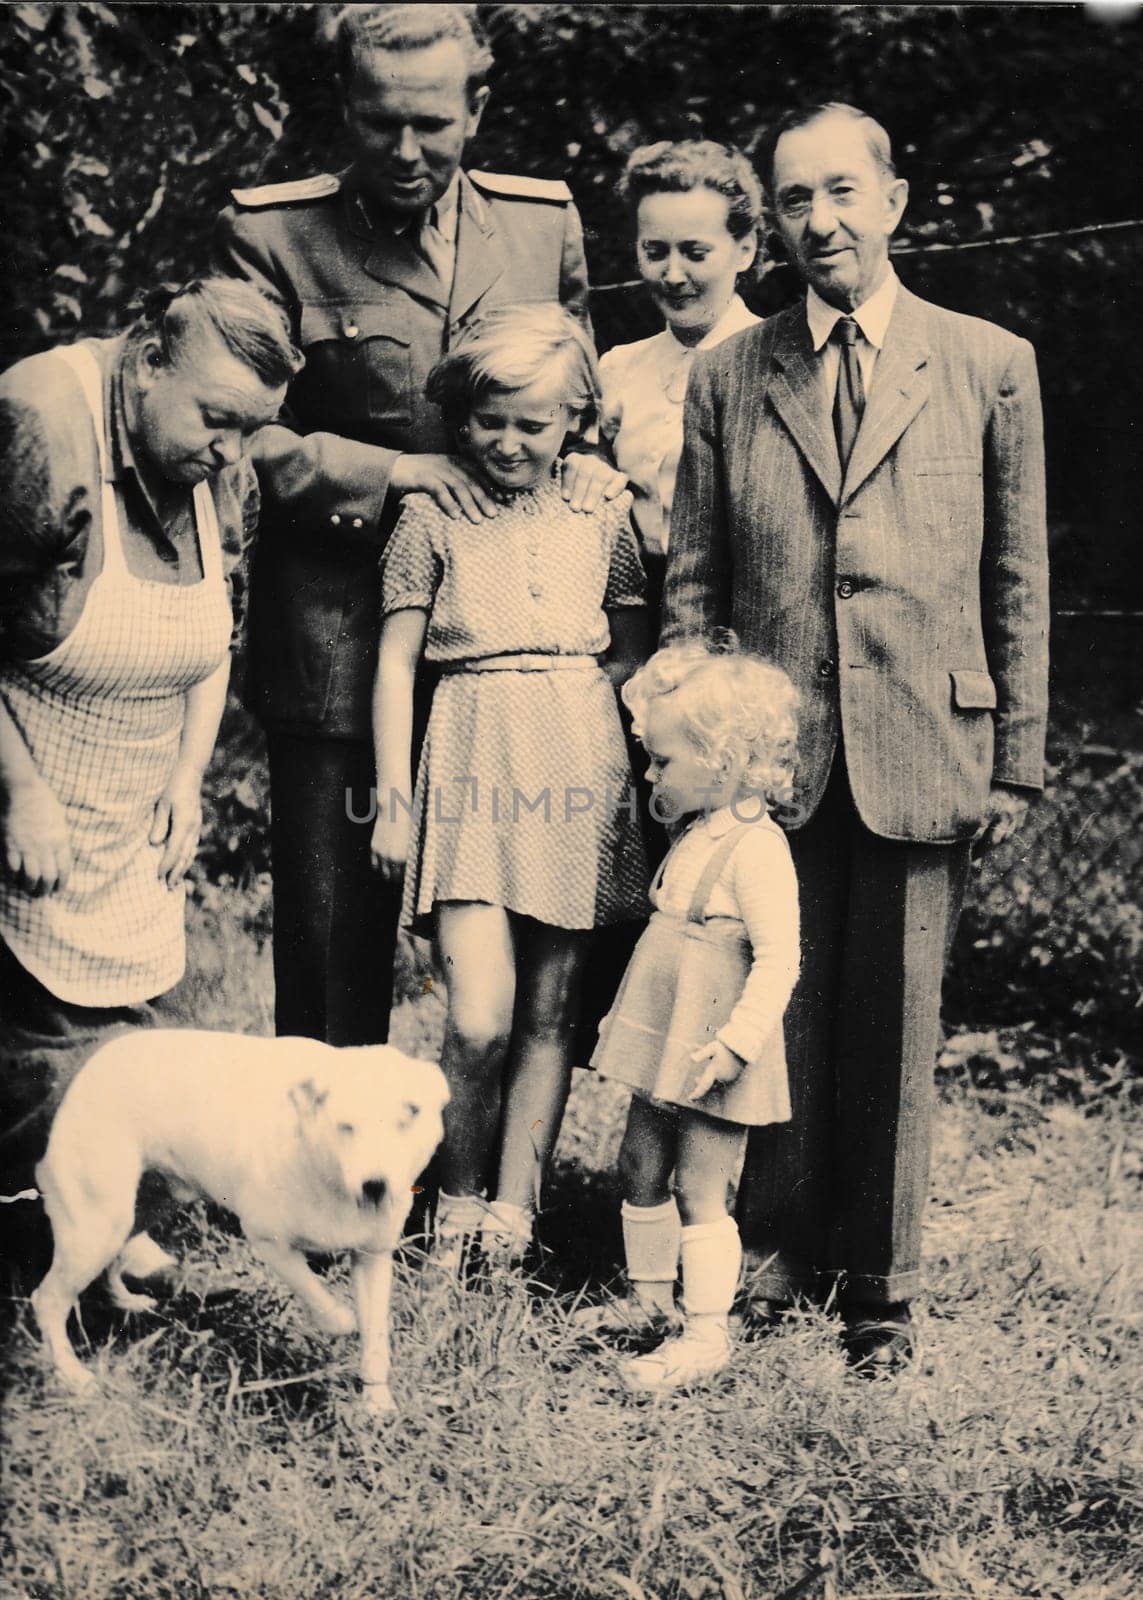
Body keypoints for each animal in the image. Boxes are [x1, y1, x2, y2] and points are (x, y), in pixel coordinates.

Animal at [31, 1024, 448, 1414]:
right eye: (346, 1126)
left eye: (410, 1115)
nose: (375, 1185)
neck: (325, 1170)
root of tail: (92, 1067)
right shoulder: (268, 1241)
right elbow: (317, 1294)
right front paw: (339, 1321)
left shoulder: (372, 1258)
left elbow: (375, 1337)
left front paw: (377, 1403)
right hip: (97, 1223)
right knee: (47, 1298)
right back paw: (72, 1375)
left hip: (142, 1207)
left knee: (114, 1257)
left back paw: (126, 1300)